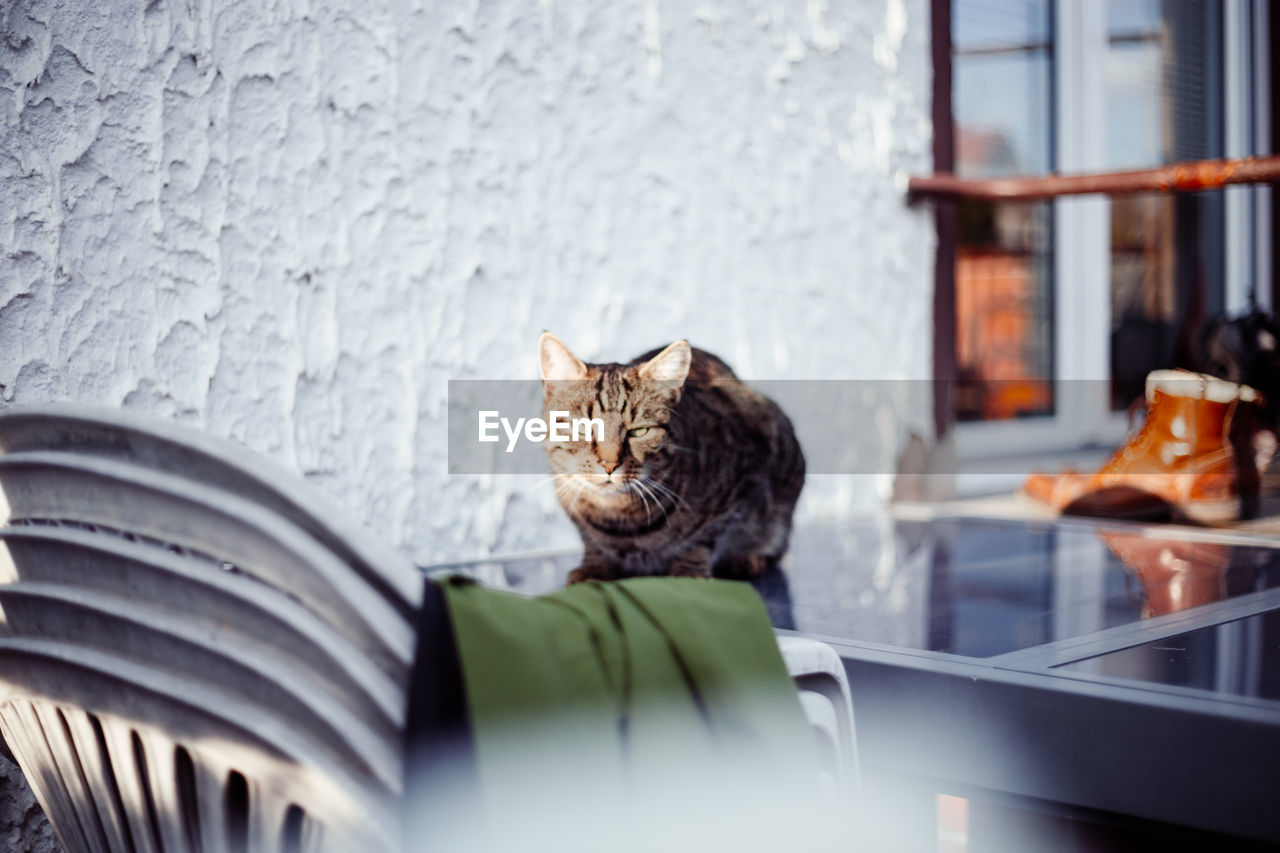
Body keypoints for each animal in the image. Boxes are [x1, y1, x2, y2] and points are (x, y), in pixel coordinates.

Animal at [537, 327, 798, 581]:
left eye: (639, 431)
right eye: (582, 428)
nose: (609, 464)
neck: (616, 514)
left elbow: (703, 538)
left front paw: (689, 571)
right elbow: (592, 542)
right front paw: (593, 566)